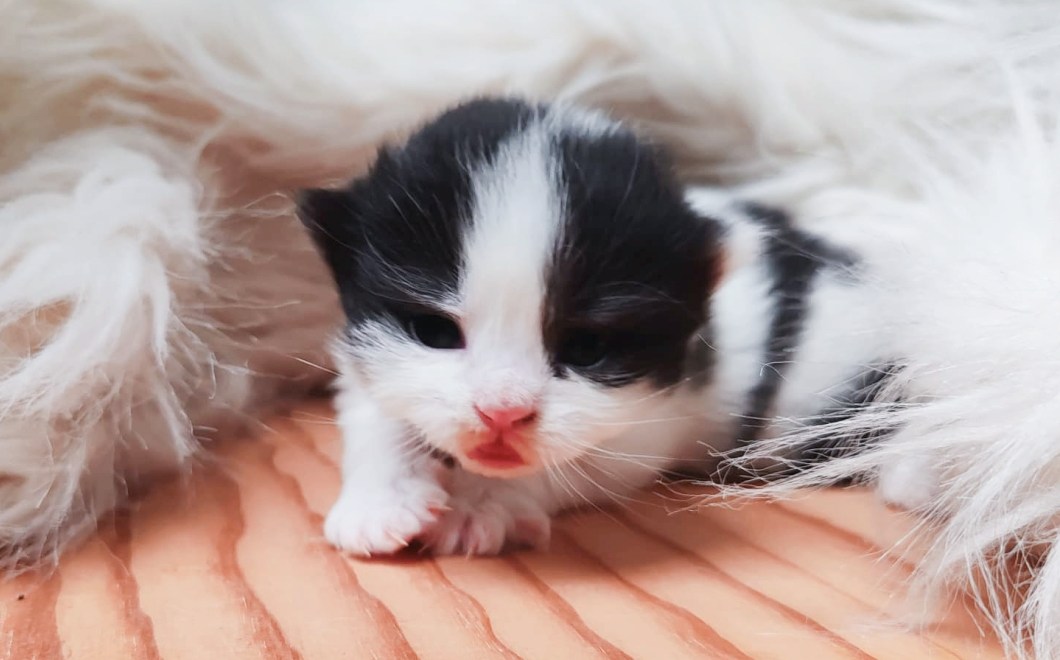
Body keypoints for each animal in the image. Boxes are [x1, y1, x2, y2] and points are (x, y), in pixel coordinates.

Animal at [297, 97, 887, 556]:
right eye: (435, 332)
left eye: (586, 347)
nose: (501, 413)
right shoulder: (367, 363)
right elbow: (378, 417)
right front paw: (382, 498)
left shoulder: (648, 425)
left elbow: (571, 463)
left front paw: (481, 504)